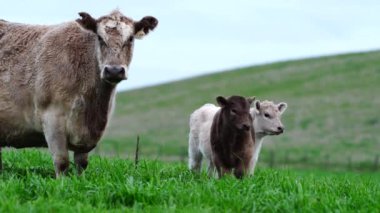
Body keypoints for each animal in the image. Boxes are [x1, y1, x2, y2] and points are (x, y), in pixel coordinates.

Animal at [0, 9, 157, 176]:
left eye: (131, 38)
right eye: (99, 38)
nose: (114, 70)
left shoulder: (87, 136)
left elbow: (82, 164)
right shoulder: (51, 118)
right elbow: (62, 162)